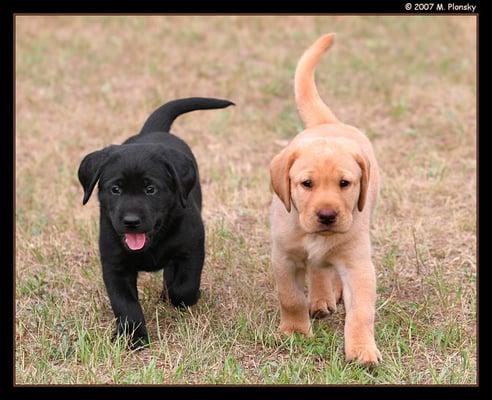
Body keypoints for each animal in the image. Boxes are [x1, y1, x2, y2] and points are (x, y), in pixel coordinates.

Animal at [78, 97, 234, 346]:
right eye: (115, 189)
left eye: (150, 189)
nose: (131, 221)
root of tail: (152, 131)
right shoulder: (114, 265)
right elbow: (125, 304)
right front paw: (134, 337)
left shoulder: (192, 248)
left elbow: (184, 287)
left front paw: (179, 298)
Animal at [270, 34, 380, 366]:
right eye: (307, 184)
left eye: (345, 183)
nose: (327, 215)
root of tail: (326, 122)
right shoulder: (283, 257)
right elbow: (291, 297)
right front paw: (295, 331)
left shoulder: (358, 265)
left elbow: (361, 312)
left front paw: (362, 349)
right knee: (317, 268)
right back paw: (320, 299)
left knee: (324, 268)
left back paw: (327, 295)